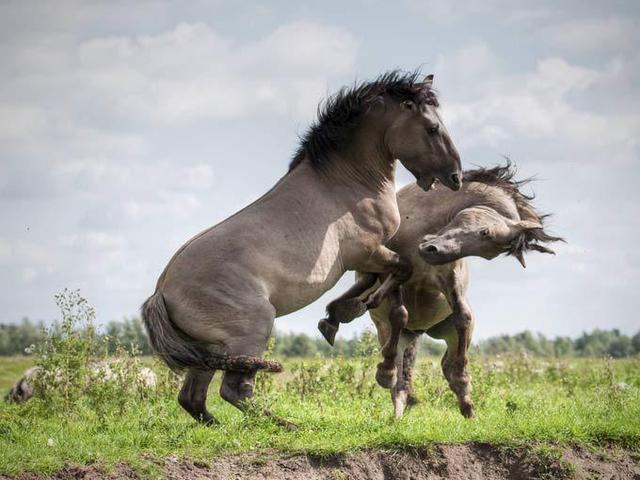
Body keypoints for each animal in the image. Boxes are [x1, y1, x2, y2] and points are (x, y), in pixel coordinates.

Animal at [141, 70, 463, 425]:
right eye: (431, 128)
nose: (455, 177)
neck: (346, 182)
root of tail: (161, 293)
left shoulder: (368, 258)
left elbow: (382, 289)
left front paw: (338, 315)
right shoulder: (369, 252)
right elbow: (399, 296)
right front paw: (385, 369)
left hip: (210, 348)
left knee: (194, 398)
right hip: (253, 327)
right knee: (234, 390)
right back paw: (287, 426)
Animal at [321, 163, 562, 418]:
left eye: (488, 251)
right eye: (484, 233)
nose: (431, 250)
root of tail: (418, 331)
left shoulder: (449, 280)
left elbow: (463, 317)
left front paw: (463, 383)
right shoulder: (393, 273)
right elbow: (399, 313)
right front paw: (384, 372)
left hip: (443, 334)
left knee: (442, 363)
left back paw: (465, 402)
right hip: (388, 331)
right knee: (399, 368)